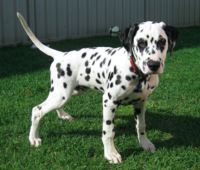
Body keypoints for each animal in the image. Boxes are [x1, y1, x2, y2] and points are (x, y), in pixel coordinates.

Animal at [17, 12, 180, 164]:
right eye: (141, 43)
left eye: (162, 41)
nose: (154, 65)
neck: (136, 72)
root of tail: (61, 55)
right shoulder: (109, 102)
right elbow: (108, 131)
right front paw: (111, 154)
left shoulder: (141, 102)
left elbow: (141, 125)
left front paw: (145, 144)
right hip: (61, 94)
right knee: (37, 110)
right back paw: (33, 138)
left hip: (69, 92)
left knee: (52, 106)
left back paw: (62, 115)